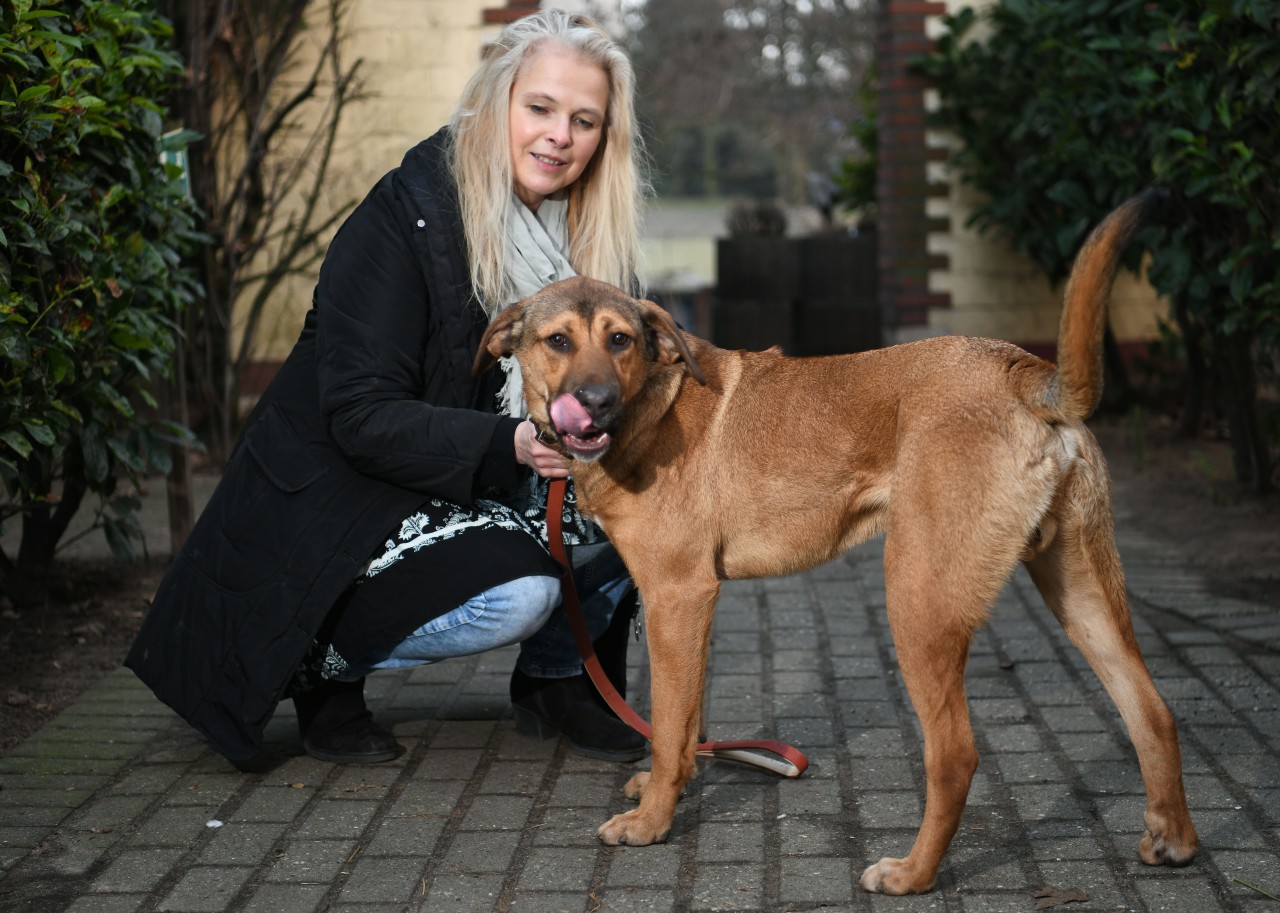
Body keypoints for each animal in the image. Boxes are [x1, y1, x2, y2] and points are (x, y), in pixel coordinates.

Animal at [473, 192, 1198, 891]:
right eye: (558, 340)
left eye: (620, 339)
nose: (592, 401)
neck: (655, 398)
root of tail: (1023, 369)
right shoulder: (694, 605)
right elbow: (685, 725)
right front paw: (669, 787)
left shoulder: (677, 595)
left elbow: (669, 723)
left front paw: (652, 821)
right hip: (1080, 590)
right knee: (1153, 710)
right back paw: (1174, 838)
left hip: (918, 600)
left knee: (955, 754)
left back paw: (912, 874)